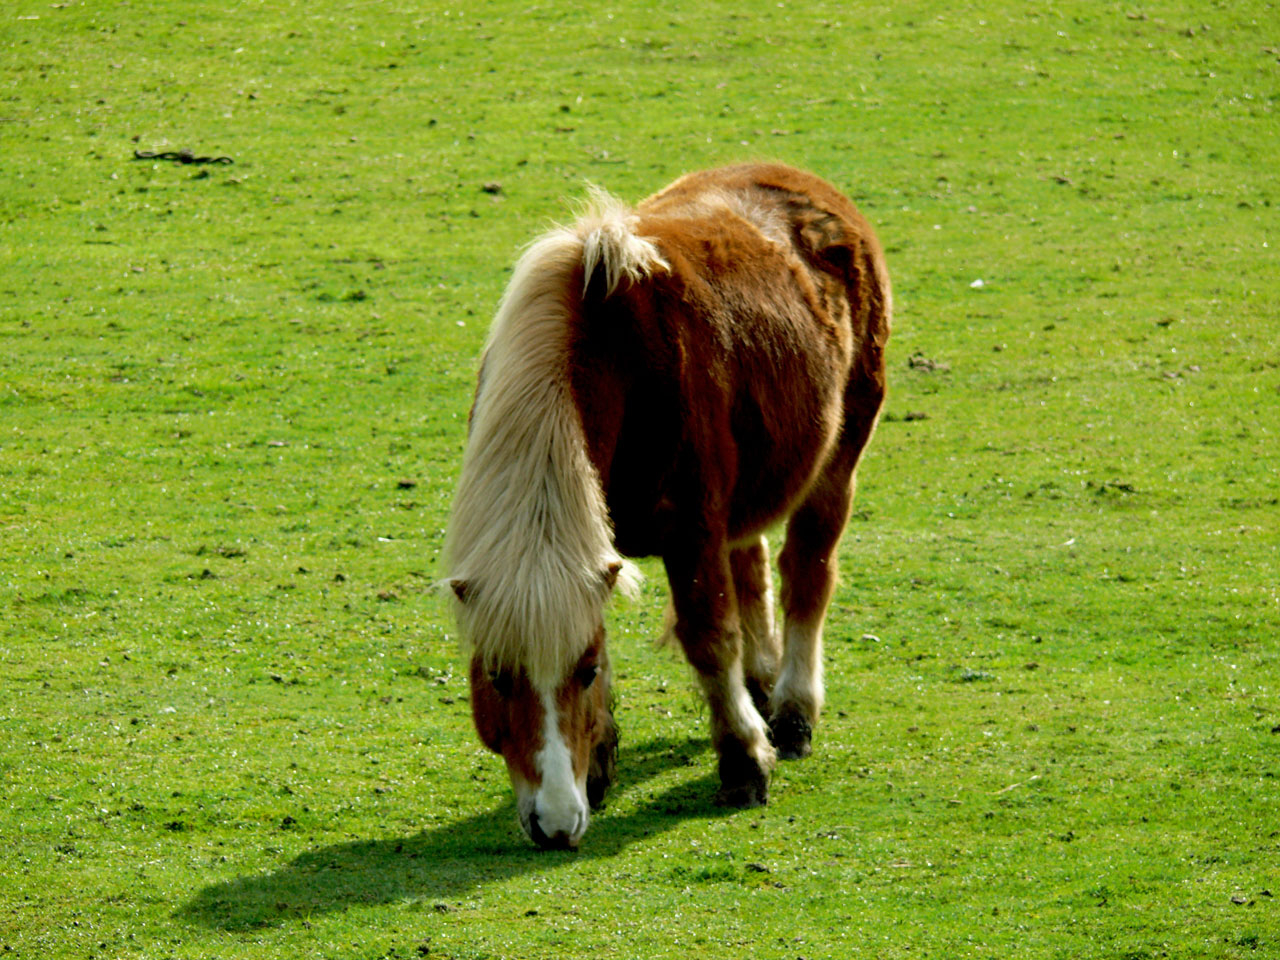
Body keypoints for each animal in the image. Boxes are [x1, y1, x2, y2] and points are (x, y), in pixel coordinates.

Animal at [448, 163, 890, 849]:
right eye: (497, 677)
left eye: (581, 673)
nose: (555, 825)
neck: (614, 359)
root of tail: (807, 185)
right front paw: (599, 764)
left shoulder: (692, 531)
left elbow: (710, 639)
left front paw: (744, 762)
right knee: (753, 568)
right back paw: (762, 687)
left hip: (838, 459)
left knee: (807, 575)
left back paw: (791, 715)